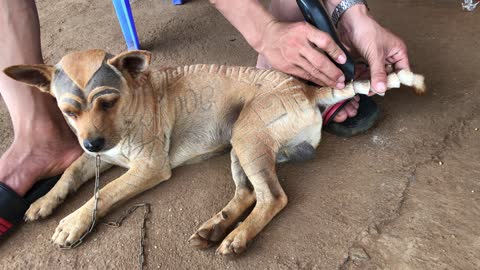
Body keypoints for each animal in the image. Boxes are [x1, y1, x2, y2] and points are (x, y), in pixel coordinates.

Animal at [3, 49, 424, 254]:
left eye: (107, 101)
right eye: (68, 112)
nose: (91, 142)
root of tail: (307, 89)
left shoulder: (147, 168)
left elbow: (103, 193)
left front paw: (72, 223)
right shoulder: (100, 156)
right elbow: (70, 173)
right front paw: (44, 202)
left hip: (247, 138)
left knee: (273, 197)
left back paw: (237, 237)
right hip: (241, 144)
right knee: (248, 192)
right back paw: (216, 226)